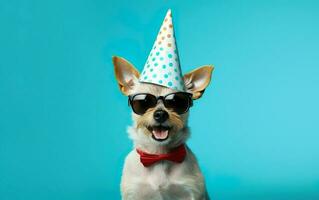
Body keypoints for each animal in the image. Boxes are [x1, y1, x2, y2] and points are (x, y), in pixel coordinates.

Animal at [112, 55, 215, 200]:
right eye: (143, 102)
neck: (159, 155)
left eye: (176, 101)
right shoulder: (133, 193)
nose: (160, 114)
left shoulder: (191, 192)